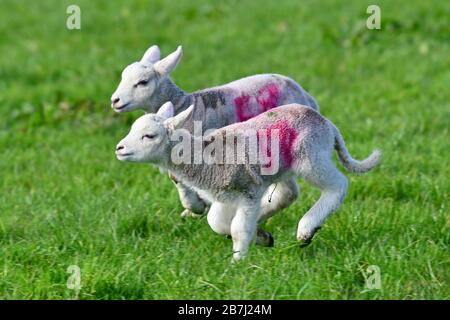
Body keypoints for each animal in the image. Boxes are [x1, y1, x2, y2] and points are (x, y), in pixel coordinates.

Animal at [110, 44, 318, 222]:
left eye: (142, 82)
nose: (115, 100)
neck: (185, 106)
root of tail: (307, 96)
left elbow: (178, 178)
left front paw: (195, 206)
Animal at [115, 101, 380, 262]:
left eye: (149, 136)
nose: (119, 149)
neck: (204, 159)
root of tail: (327, 124)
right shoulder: (224, 196)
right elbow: (216, 222)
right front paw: (262, 238)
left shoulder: (248, 191)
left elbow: (238, 228)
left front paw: (238, 262)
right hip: (284, 167)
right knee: (287, 193)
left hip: (310, 156)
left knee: (338, 184)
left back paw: (306, 229)